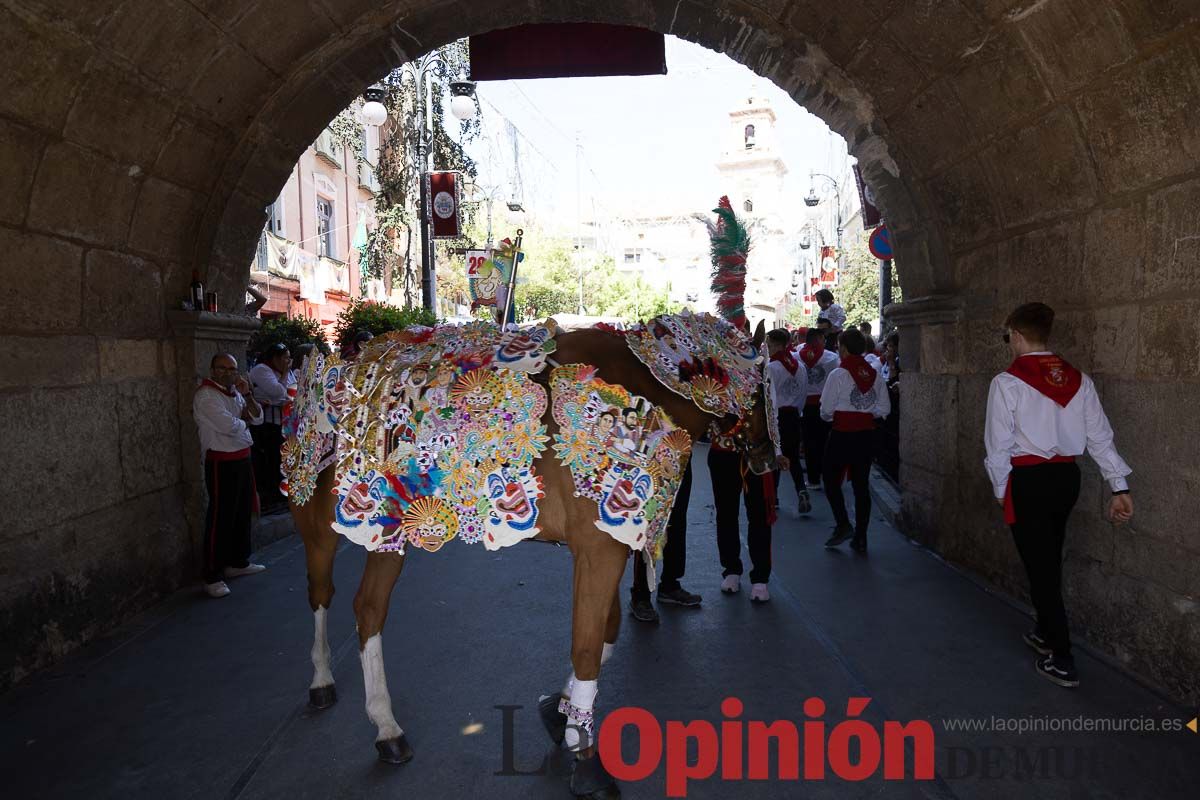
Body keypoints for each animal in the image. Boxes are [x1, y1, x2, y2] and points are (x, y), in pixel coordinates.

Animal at [278, 201, 777, 800]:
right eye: (768, 386)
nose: (769, 459)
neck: (645, 390)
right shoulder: (602, 549)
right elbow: (587, 646)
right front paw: (584, 755)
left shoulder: (603, 547)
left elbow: (606, 634)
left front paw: (562, 716)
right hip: (322, 525)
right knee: (321, 594)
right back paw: (323, 681)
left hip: (386, 532)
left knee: (368, 611)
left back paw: (386, 728)